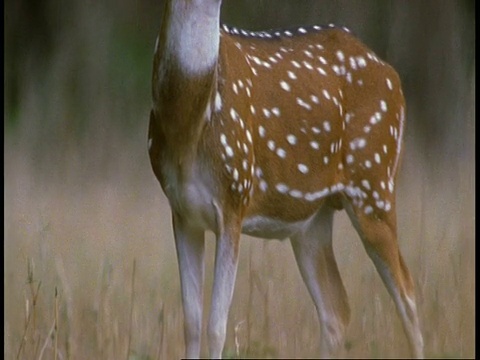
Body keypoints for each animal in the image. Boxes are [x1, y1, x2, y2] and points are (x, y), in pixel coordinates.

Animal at [147, 0, 424, 358]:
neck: (189, 126)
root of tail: (391, 73)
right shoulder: (182, 210)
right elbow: (192, 323)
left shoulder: (235, 196)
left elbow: (216, 325)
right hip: (314, 217)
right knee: (336, 308)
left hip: (375, 180)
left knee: (407, 293)